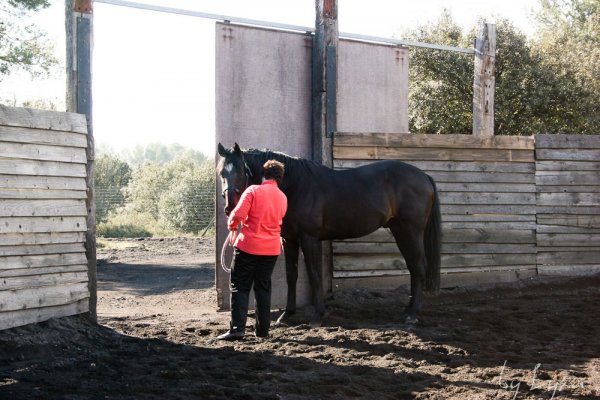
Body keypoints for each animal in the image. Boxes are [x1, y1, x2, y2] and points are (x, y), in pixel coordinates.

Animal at [217, 143, 440, 324]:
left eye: (240, 170)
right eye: (221, 173)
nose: (230, 207)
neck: (296, 186)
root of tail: (425, 176)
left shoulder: (309, 239)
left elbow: (314, 275)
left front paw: (317, 316)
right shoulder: (289, 240)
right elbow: (291, 276)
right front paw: (286, 315)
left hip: (410, 230)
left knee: (418, 266)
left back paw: (412, 314)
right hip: (400, 230)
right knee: (413, 268)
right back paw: (408, 309)